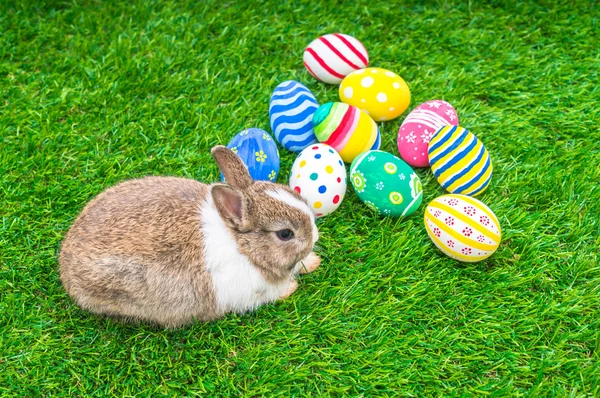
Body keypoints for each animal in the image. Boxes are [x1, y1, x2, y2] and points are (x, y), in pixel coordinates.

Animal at [60, 145, 322, 326]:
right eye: (285, 234)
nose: (315, 236)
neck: (243, 246)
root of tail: (65, 270)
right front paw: (292, 287)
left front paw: (313, 262)